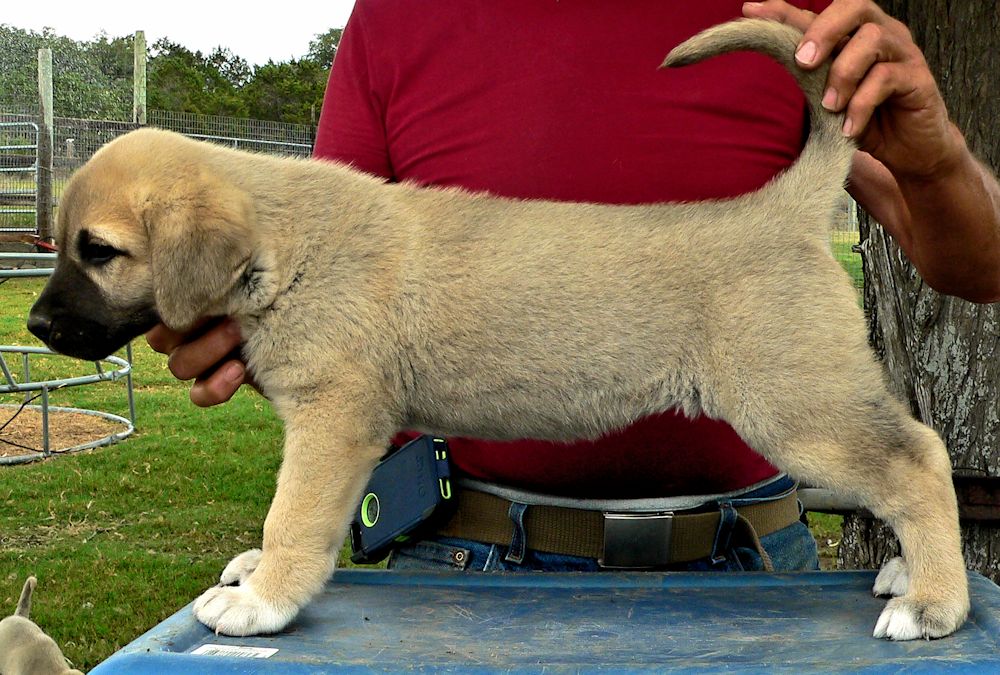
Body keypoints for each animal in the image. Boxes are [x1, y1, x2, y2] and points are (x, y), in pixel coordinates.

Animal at [29, 19, 968, 644]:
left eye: (100, 251)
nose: (36, 323)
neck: (279, 242)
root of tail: (782, 209)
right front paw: (261, 577)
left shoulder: (335, 423)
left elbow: (291, 514)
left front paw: (265, 596)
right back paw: (910, 573)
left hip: (800, 405)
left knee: (918, 458)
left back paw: (934, 600)